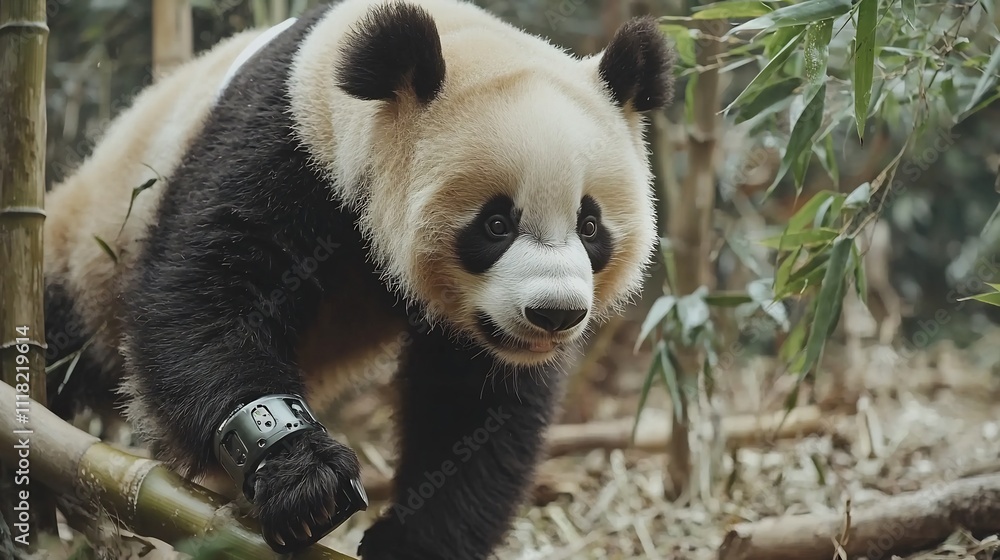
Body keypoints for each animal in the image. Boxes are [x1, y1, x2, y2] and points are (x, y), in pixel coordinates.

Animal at [42, 0, 675, 557]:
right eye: (495, 223)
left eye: (590, 226)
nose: (554, 314)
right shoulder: (283, 144)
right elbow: (205, 295)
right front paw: (306, 480)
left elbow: (473, 410)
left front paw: (414, 543)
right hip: (82, 252)